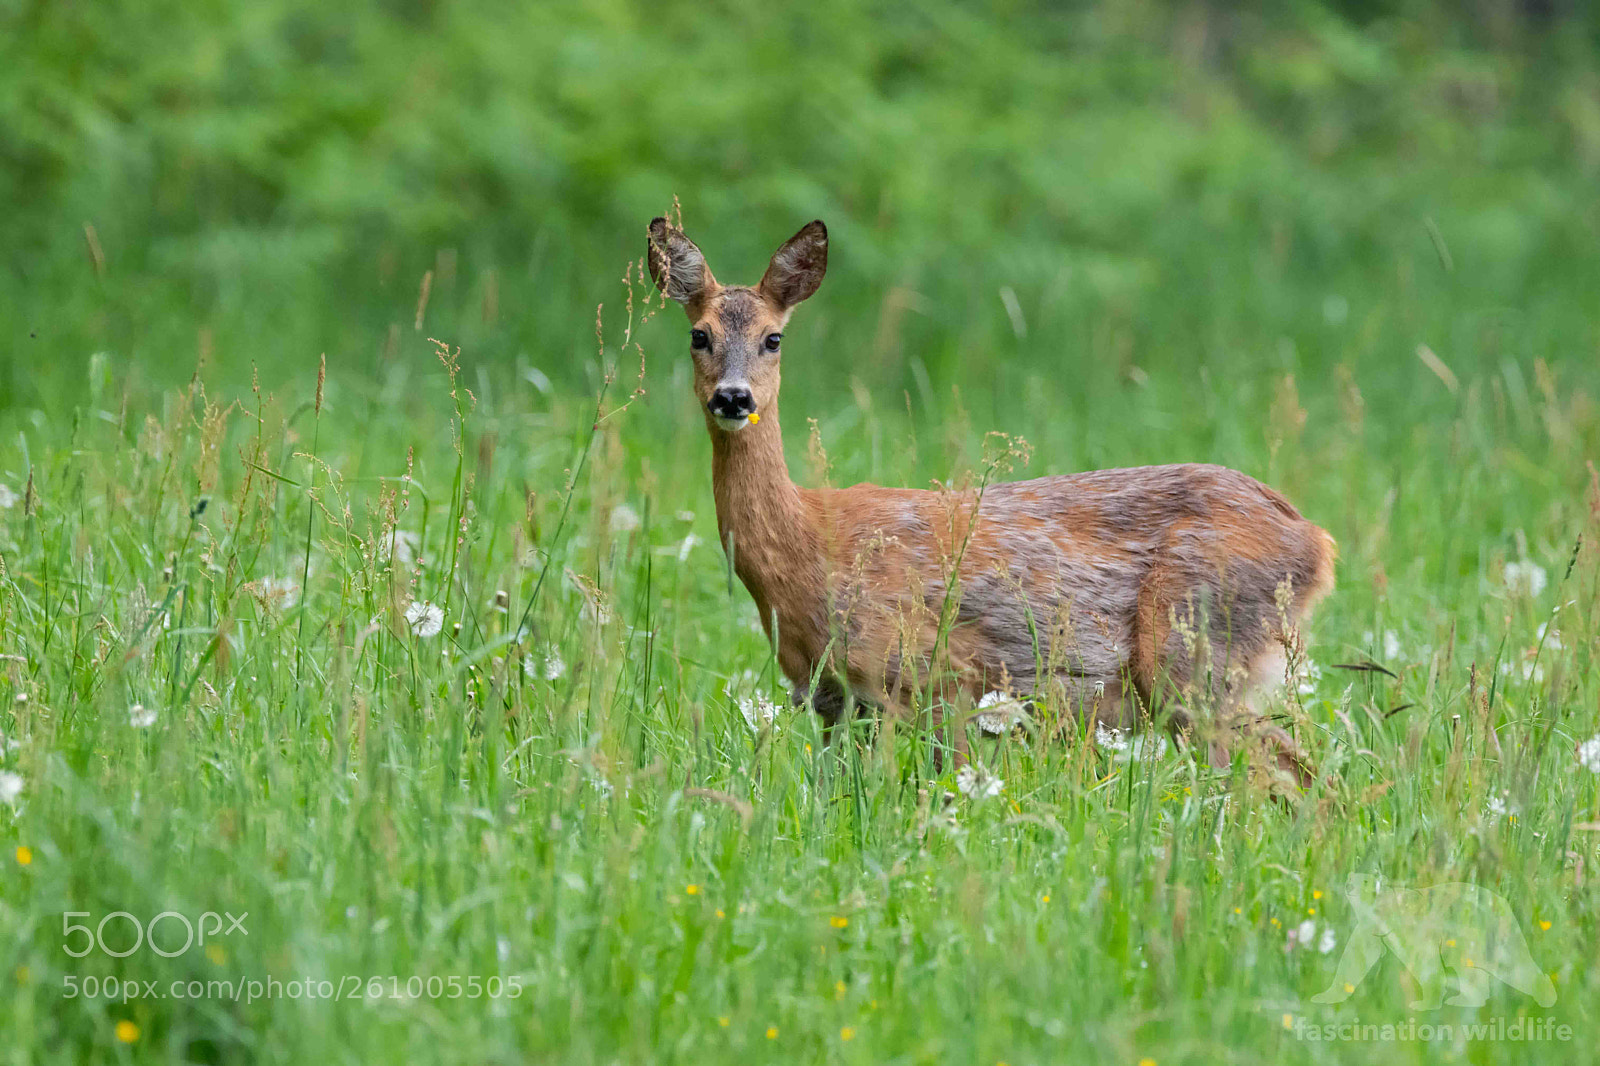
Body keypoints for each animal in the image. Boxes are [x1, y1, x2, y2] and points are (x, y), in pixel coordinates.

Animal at [647, 216, 1336, 785]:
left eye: (774, 339)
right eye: (698, 336)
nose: (733, 397)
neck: (810, 546)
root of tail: (1317, 543)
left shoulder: (941, 677)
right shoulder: (836, 699)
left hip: (1193, 656)